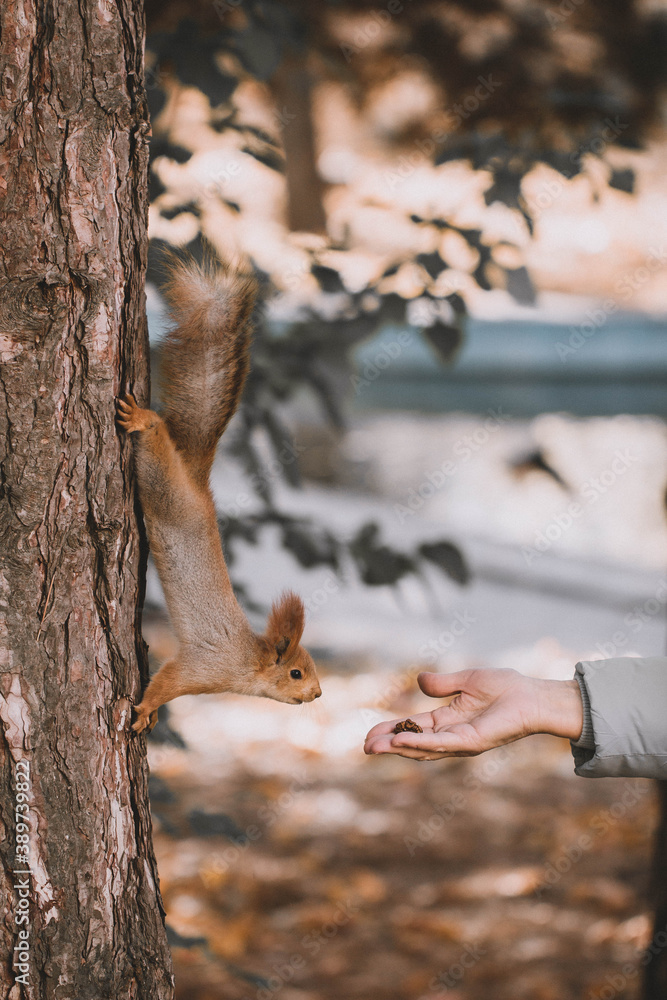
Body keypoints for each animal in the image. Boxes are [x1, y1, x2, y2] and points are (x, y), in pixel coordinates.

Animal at [116, 256, 321, 733]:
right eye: (296, 673)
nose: (319, 693)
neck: (246, 665)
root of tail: (197, 483)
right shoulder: (203, 667)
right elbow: (167, 681)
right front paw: (147, 710)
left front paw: (151, 715)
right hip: (166, 490)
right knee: (155, 445)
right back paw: (143, 420)